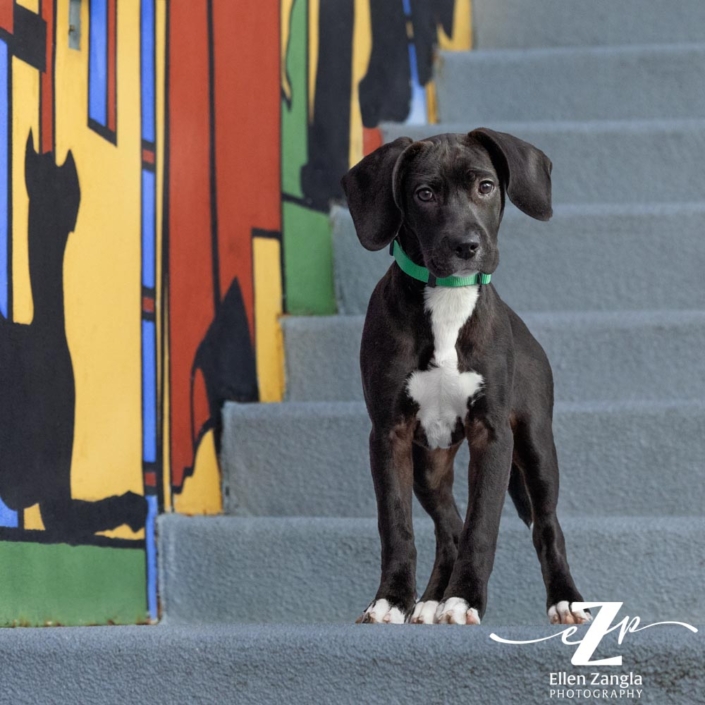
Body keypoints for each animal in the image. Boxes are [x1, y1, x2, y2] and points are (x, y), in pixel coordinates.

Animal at [340, 129, 588, 624]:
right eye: (424, 194)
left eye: (486, 186)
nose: (467, 246)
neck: (448, 300)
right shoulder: (389, 434)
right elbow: (396, 524)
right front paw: (392, 599)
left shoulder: (493, 434)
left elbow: (482, 523)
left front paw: (464, 598)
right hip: (429, 465)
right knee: (448, 526)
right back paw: (429, 600)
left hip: (536, 445)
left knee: (546, 526)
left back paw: (565, 599)